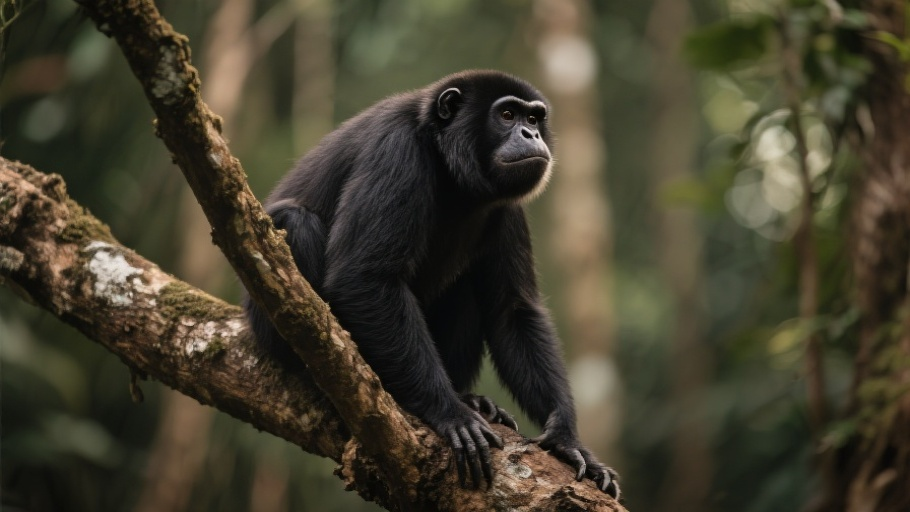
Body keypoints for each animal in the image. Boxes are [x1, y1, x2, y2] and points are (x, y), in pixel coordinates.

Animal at [243, 70, 619, 497]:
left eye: (535, 117)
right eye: (507, 114)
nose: (530, 133)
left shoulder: (508, 206)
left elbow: (513, 309)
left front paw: (567, 439)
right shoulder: (396, 149)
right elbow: (366, 276)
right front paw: (450, 412)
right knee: (296, 221)